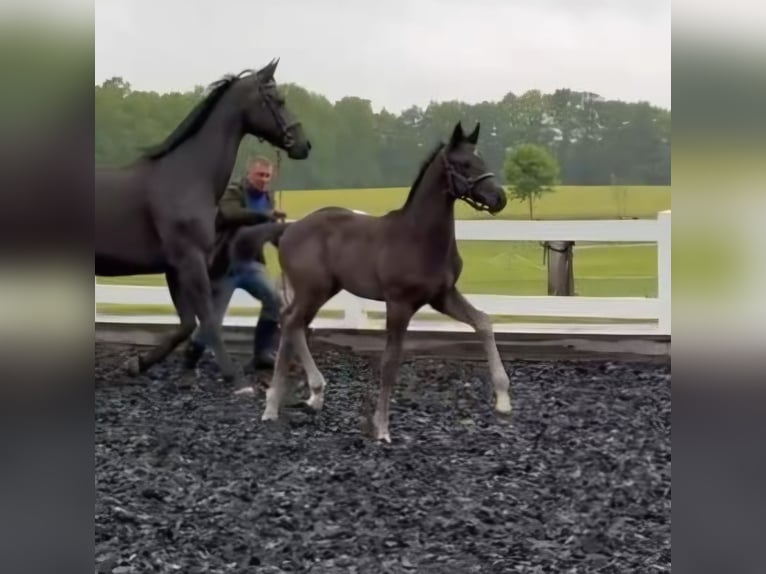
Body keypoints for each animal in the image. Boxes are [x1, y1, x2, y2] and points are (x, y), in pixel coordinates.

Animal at [94, 58, 311, 382]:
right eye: (278, 99)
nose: (303, 144)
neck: (189, 176)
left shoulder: (174, 268)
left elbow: (187, 325)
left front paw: (138, 363)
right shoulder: (190, 262)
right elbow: (207, 320)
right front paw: (235, 378)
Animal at [262, 121, 512, 442]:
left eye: (482, 159)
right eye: (464, 164)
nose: (499, 198)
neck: (419, 237)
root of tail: (287, 231)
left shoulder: (443, 296)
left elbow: (483, 322)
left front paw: (503, 398)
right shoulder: (399, 304)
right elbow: (390, 362)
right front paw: (381, 428)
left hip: (322, 290)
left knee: (293, 323)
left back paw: (305, 396)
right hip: (312, 290)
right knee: (291, 321)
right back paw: (278, 403)